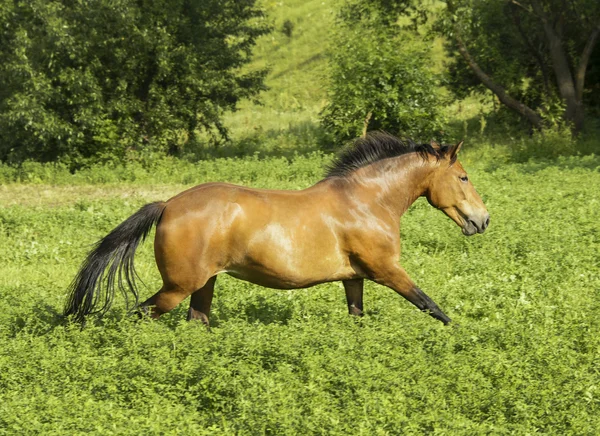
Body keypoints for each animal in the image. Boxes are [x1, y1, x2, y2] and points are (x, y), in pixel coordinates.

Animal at [64, 133, 488, 328]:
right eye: (464, 177)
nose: (482, 220)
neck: (367, 202)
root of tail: (167, 205)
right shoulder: (387, 270)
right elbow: (431, 305)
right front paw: (460, 334)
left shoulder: (355, 278)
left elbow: (357, 316)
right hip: (177, 287)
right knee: (139, 314)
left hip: (203, 285)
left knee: (197, 321)